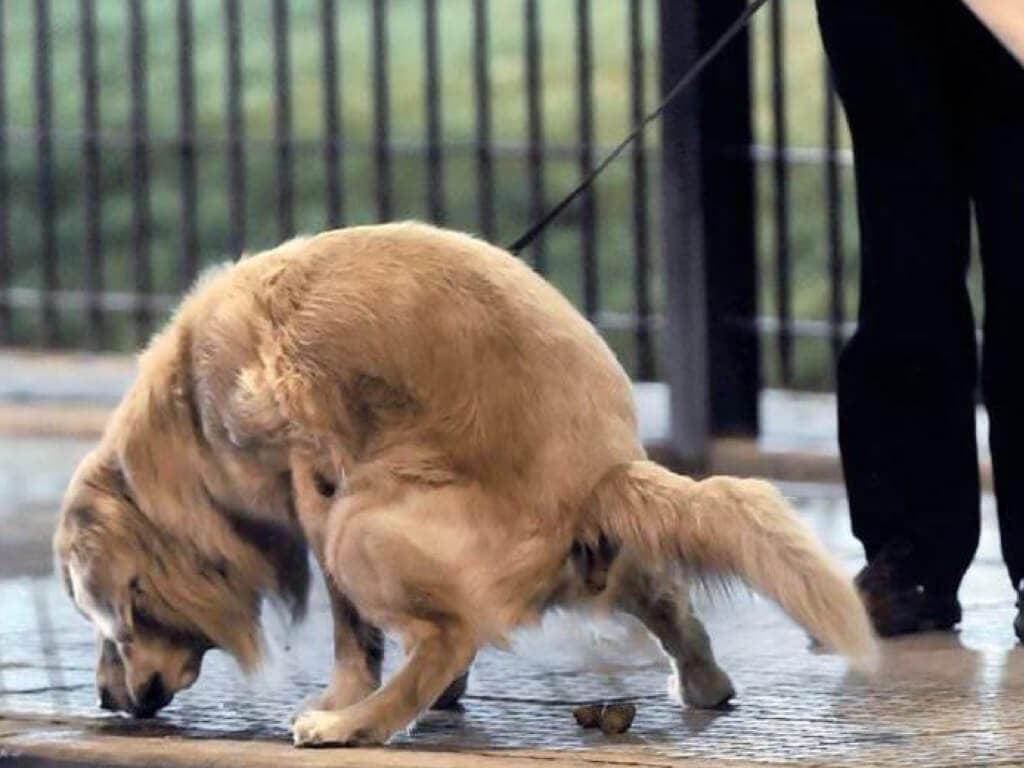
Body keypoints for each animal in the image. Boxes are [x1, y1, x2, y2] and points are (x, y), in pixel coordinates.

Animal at [51, 222, 876, 745]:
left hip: (359, 516)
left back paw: (354, 726)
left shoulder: (312, 479)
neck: (190, 410)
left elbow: (353, 630)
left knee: (445, 636)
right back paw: (705, 683)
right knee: (663, 599)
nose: (106, 700)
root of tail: (597, 477)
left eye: (116, 617)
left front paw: (347, 696)